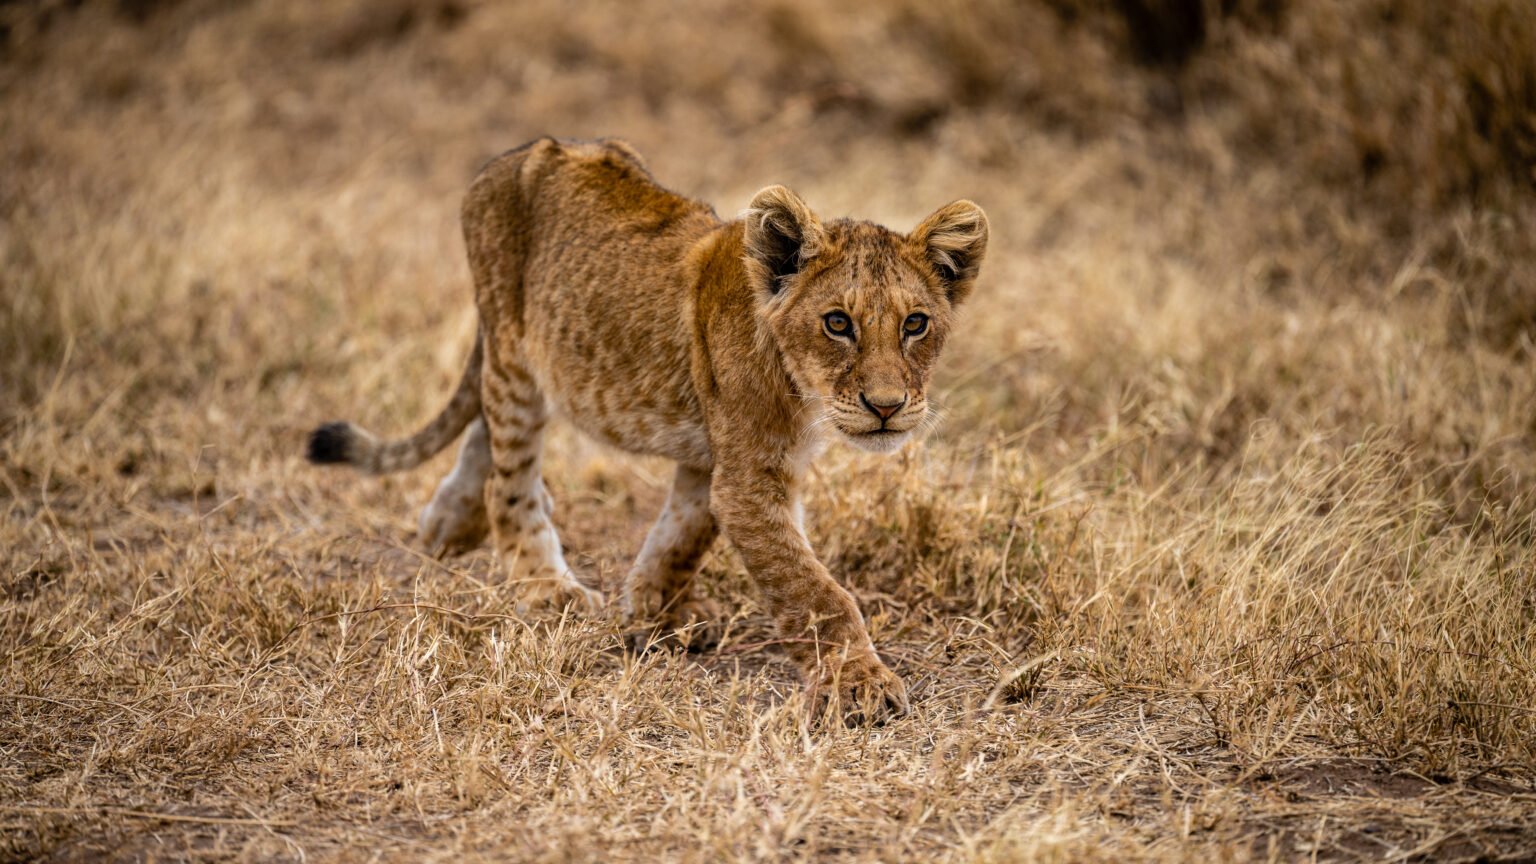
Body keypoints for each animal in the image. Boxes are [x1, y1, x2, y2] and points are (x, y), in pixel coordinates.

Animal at [306, 137, 988, 722]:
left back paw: (449, 524)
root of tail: (527, 150)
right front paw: (861, 686)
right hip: (514, 354)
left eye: (916, 324)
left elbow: (685, 530)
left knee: (484, 431)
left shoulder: (717, 458)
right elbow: (815, 592)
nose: (887, 407)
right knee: (510, 476)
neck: (802, 388)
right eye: (838, 323)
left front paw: (651, 612)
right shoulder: (749, 476)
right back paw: (544, 585)